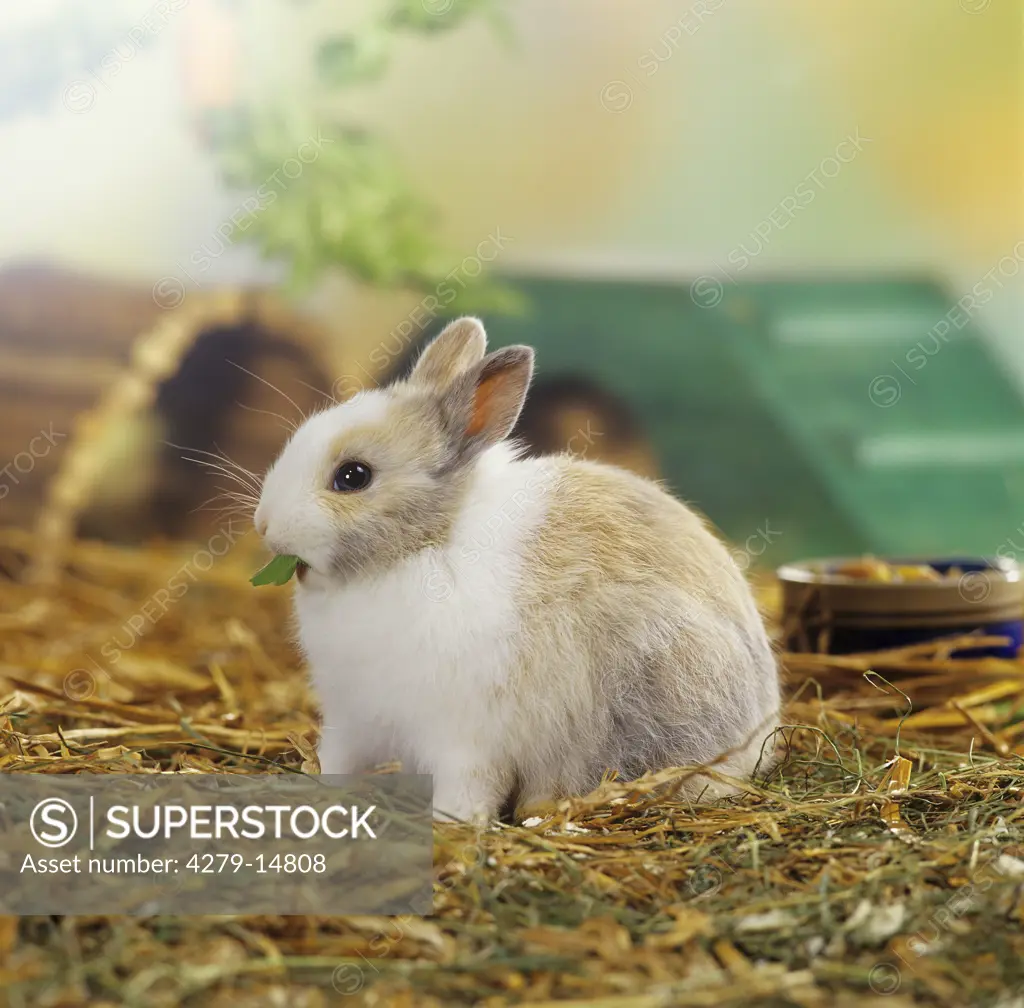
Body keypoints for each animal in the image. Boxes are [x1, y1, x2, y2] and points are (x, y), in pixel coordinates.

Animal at [253, 319, 774, 823]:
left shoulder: (464, 739)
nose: (263, 524)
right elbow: (336, 761)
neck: (427, 544)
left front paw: (453, 824)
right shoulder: (350, 719)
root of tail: (763, 728)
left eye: (353, 476)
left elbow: (467, 786)